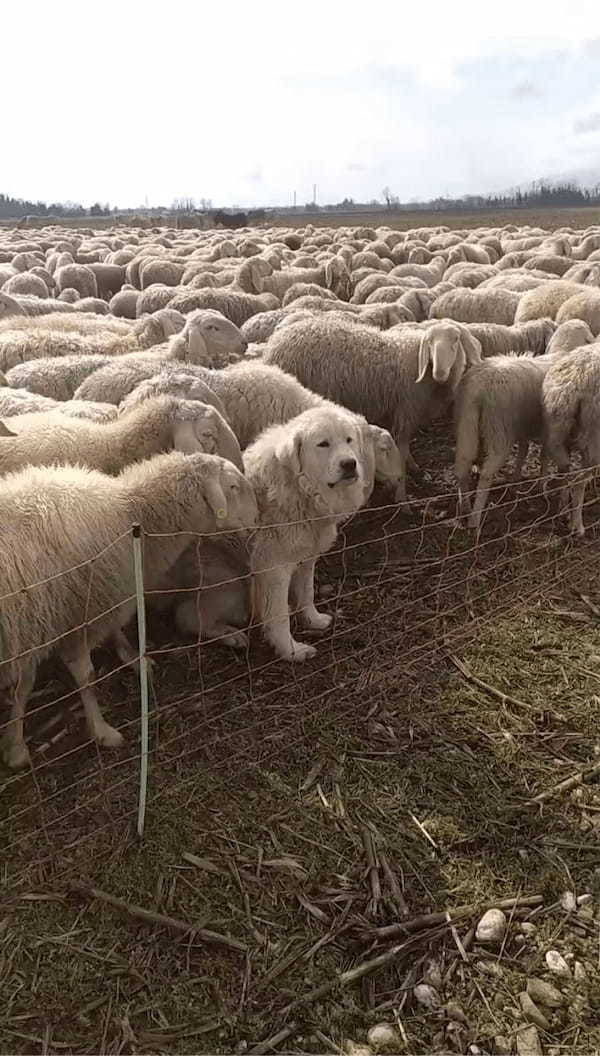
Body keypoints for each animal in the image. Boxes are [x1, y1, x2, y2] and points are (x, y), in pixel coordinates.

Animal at [0, 451, 255, 768]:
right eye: (232, 486)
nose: (257, 518)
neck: (130, 509)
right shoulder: (79, 616)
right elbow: (85, 677)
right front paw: (102, 732)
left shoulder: (38, 623)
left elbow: (24, 686)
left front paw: (14, 745)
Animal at [244, 403, 369, 658]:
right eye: (323, 444)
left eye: (349, 440)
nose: (349, 464)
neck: (299, 488)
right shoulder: (273, 569)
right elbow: (280, 615)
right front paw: (290, 650)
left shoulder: (306, 556)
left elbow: (306, 591)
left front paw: (313, 620)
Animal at [261, 312, 483, 498]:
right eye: (429, 343)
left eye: (456, 339)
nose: (439, 372)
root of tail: (274, 346)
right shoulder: (405, 412)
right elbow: (401, 450)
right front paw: (402, 495)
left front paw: (413, 468)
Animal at [454, 352, 553, 532]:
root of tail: (479, 389)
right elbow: (543, 456)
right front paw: (542, 486)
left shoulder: (522, 427)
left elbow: (523, 450)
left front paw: (516, 479)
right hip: (499, 432)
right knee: (486, 474)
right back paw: (475, 519)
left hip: (466, 423)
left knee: (462, 465)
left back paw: (465, 508)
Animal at [540, 344, 600, 532]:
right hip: (593, 437)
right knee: (579, 480)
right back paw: (577, 525)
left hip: (557, 431)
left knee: (564, 471)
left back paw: (563, 512)